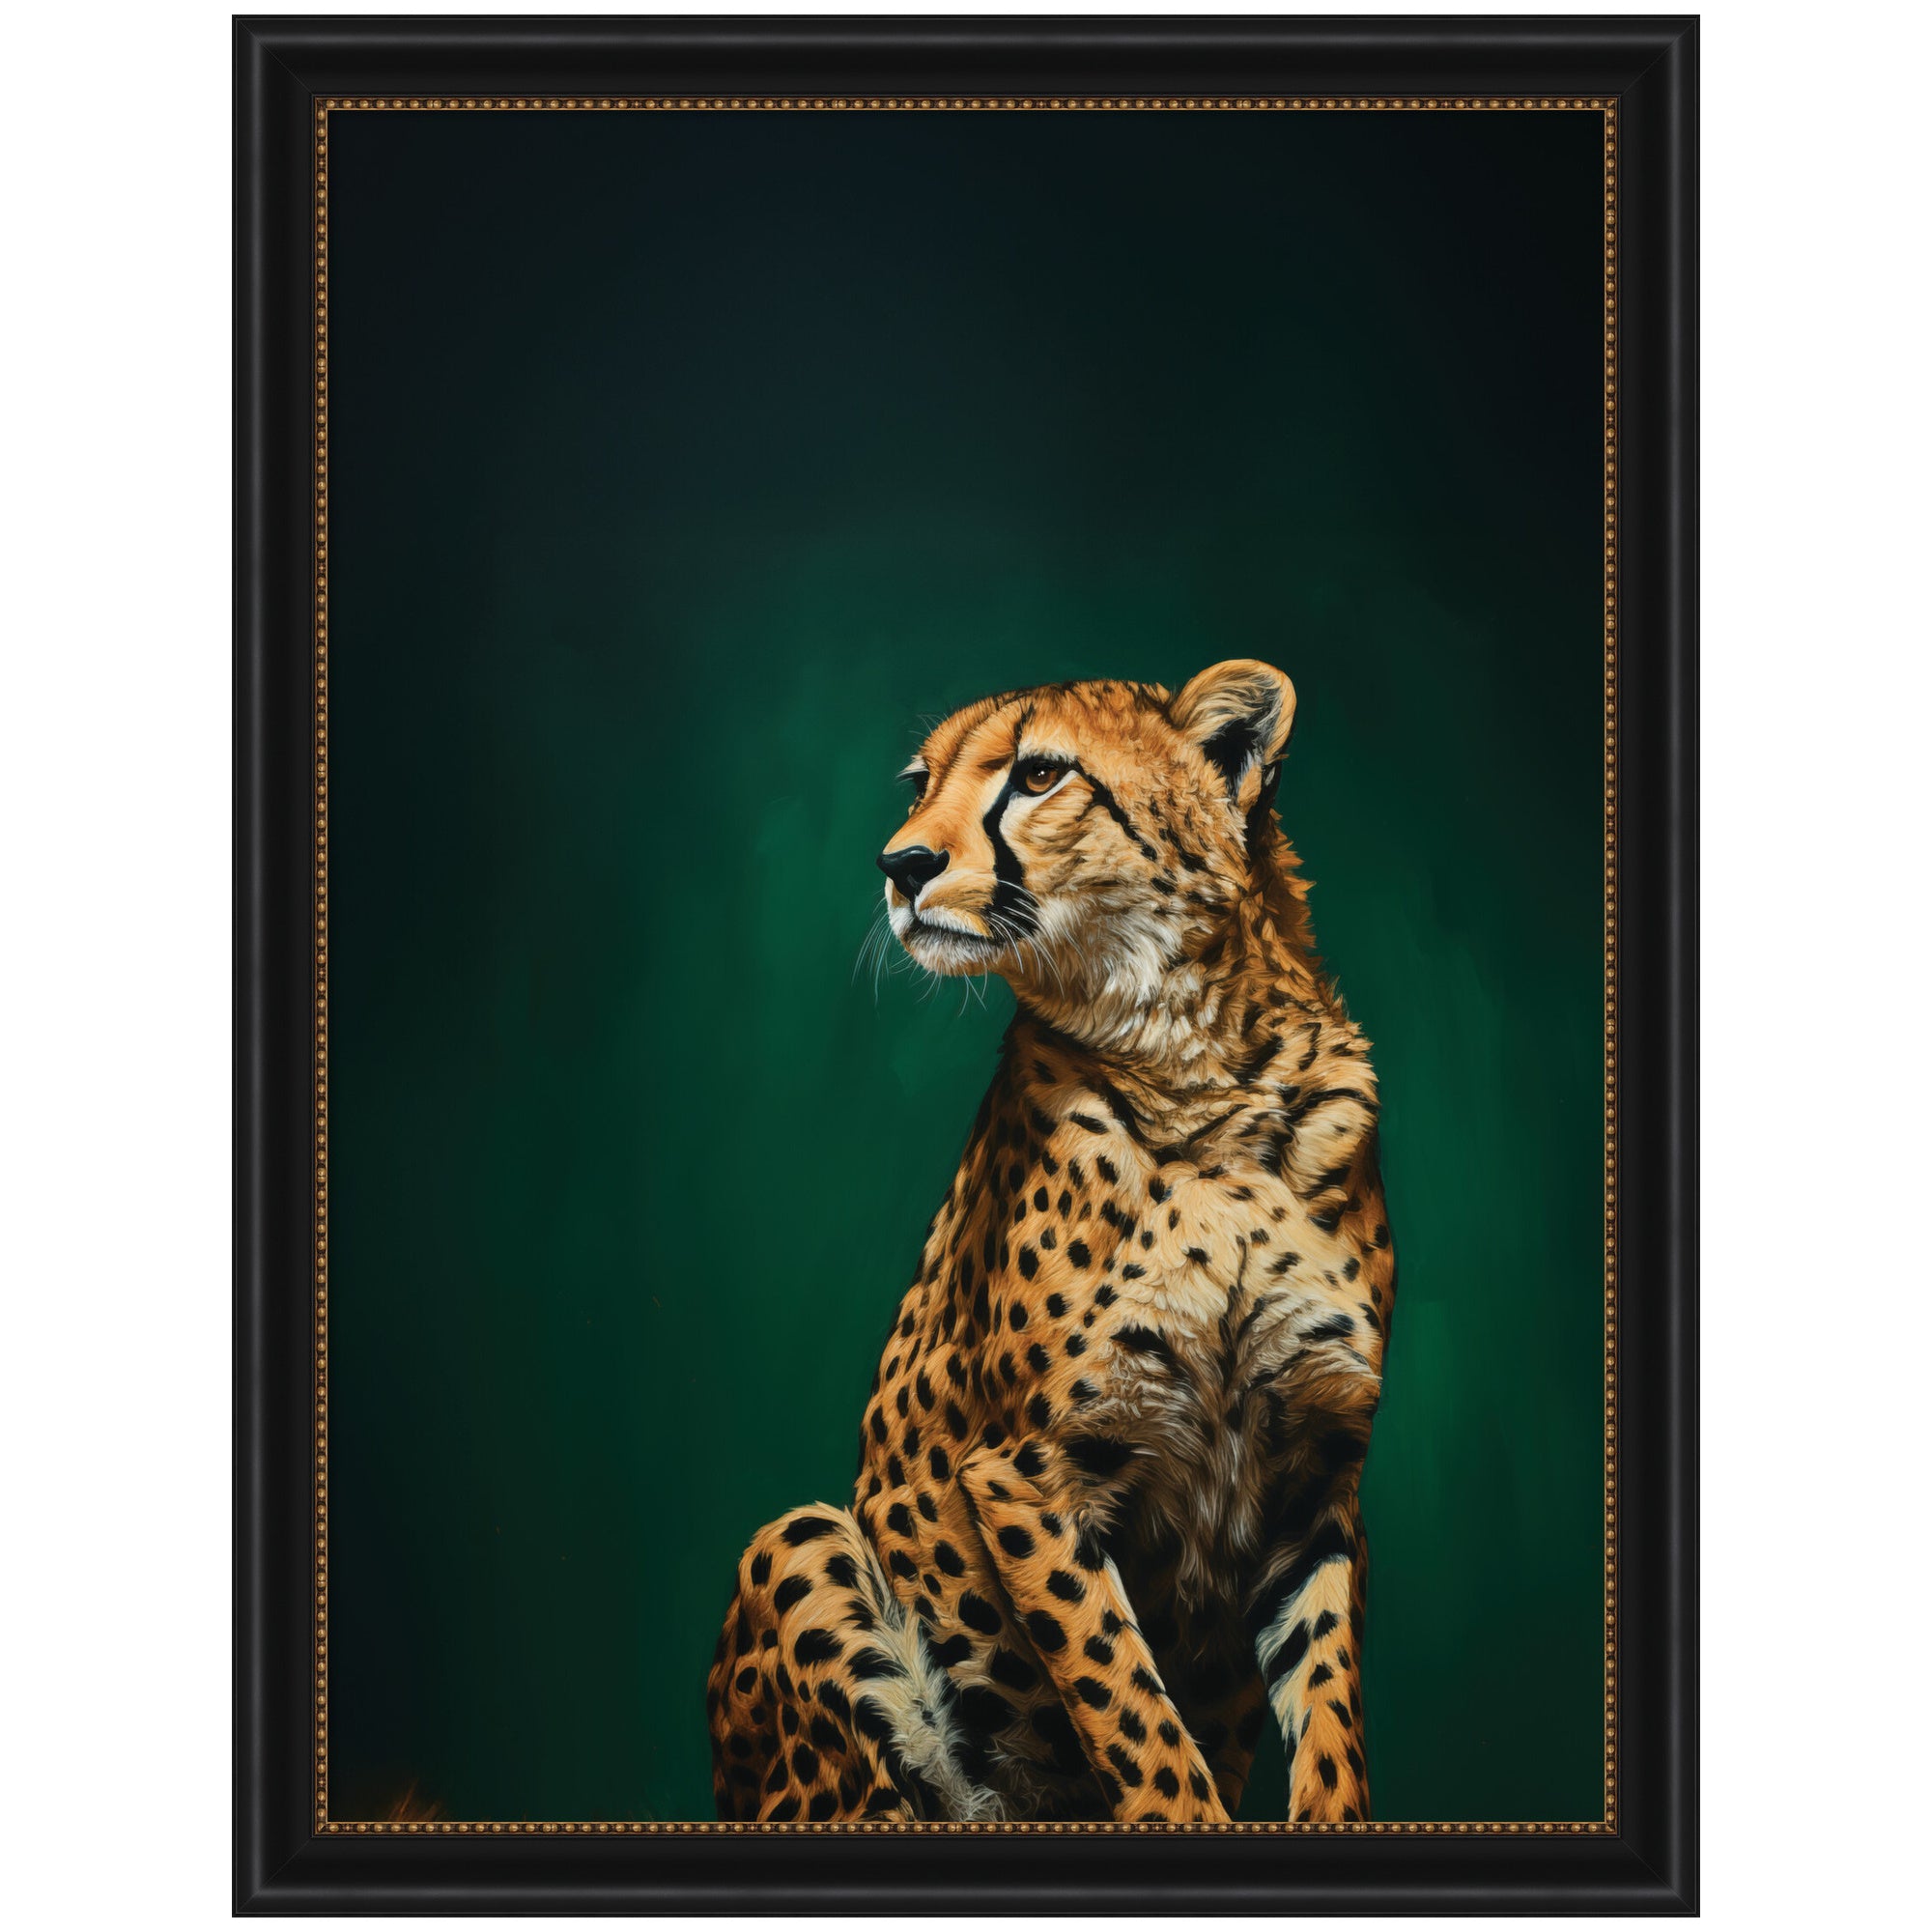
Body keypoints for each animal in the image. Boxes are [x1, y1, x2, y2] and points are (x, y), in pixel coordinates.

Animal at [706, 660, 1393, 1825]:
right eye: (921, 783)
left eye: (1037, 775)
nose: (899, 864)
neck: (1200, 1072)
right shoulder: (1027, 1472)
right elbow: (1130, 1704)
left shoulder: (1313, 1478)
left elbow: (1332, 1708)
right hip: (801, 1545)